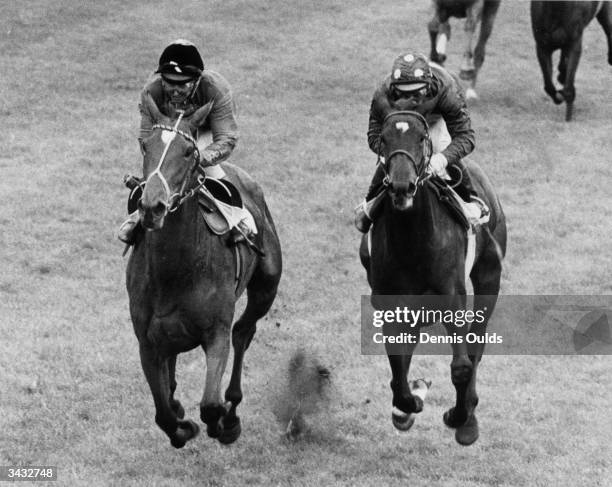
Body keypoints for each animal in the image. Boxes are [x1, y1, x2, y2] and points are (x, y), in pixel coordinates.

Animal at [127, 93, 284, 448]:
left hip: (266, 287)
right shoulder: (146, 341)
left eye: (189, 152)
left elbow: (211, 404)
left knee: (243, 333)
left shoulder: (215, 332)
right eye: (145, 145)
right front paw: (182, 425)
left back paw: (233, 410)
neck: (174, 270)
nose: (152, 206)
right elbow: (163, 414)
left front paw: (222, 424)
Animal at [358, 110, 506, 446]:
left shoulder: (453, 301)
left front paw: (457, 416)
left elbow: (461, 367)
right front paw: (409, 402)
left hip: (489, 274)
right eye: (383, 138)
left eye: (422, 138)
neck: (413, 241)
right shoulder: (392, 306)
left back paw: (468, 418)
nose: (402, 186)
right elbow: (397, 370)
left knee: (476, 343)